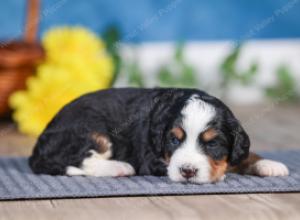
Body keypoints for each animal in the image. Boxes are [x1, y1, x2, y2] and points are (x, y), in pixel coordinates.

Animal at [29, 88, 290, 184]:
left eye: (213, 143)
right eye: (174, 140)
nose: (187, 171)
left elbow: (245, 155)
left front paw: (269, 164)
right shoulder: (150, 158)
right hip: (91, 130)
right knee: (79, 161)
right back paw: (119, 167)